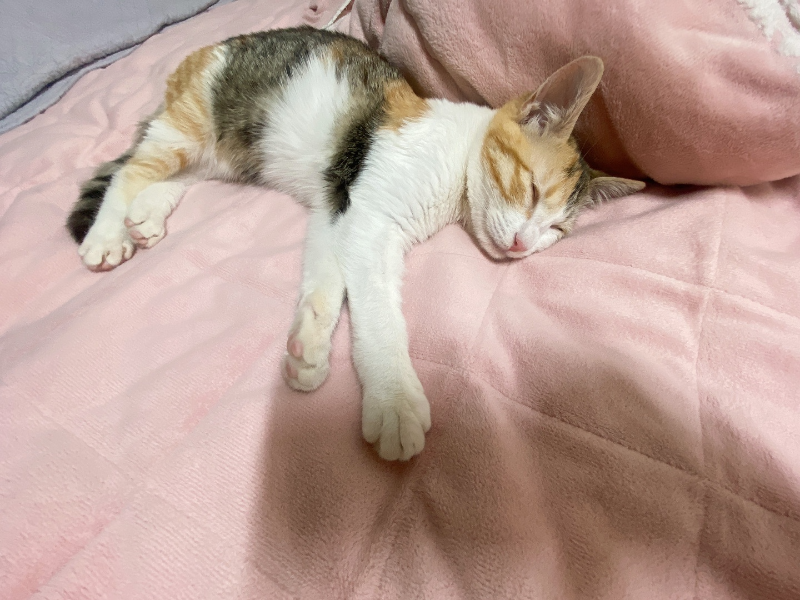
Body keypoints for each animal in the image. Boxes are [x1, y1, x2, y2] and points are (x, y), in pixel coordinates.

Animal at [66, 27, 644, 461]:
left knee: (181, 175)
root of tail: (209, 50)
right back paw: (108, 233)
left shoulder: (337, 208)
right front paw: (393, 400)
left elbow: (326, 273)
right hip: (194, 121)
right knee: (133, 169)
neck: (456, 158)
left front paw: (308, 343)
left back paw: (146, 216)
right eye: (531, 190)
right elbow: (379, 314)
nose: (525, 244)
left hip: (226, 152)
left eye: (557, 231)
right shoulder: (370, 219)